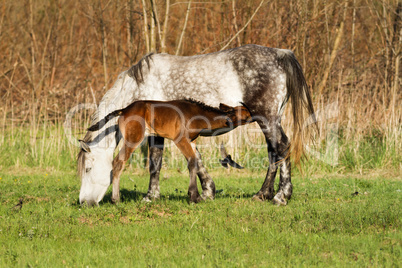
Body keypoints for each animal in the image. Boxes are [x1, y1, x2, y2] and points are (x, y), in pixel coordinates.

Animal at [88, 99, 251, 202]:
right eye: (246, 112)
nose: (255, 115)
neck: (197, 116)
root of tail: (124, 110)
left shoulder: (191, 141)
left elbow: (196, 162)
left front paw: (200, 194)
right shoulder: (180, 139)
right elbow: (192, 161)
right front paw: (194, 196)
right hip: (134, 137)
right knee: (118, 161)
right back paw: (115, 199)